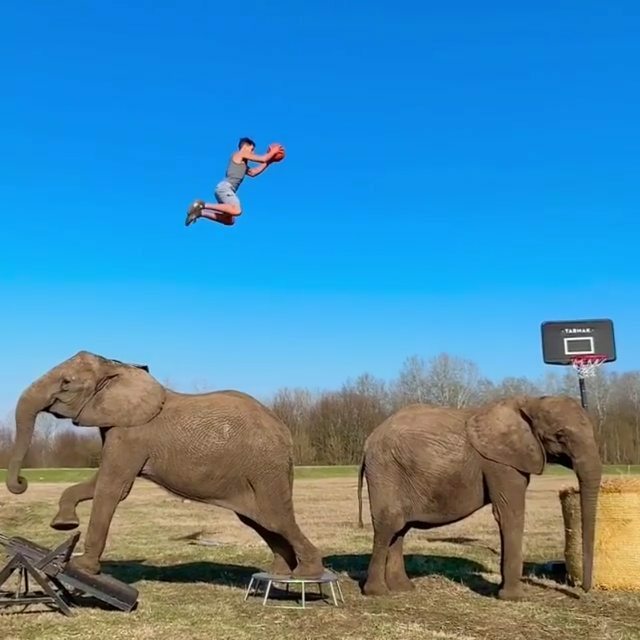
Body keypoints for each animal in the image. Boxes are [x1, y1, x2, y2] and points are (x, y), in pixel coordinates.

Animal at [5, 351, 324, 578]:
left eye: (66, 383)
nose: (22, 483)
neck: (118, 367)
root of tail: (285, 432)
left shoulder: (131, 434)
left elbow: (112, 487)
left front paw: (82, 568)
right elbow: (99, 484)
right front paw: (64, 524)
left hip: (265, 468)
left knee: (276, 518)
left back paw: (307, 574)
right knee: (259, 521)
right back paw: (279, 573)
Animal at [356, 395, 602, 599]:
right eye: (560, 435)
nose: (583, 590)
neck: (530, 402)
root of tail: (368, 442)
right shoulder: (501, 463)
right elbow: (510, 514)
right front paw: (515, 598)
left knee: (399, 529)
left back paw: (403, 588)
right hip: (385, 471)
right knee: (389, 525)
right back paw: (377, 593)